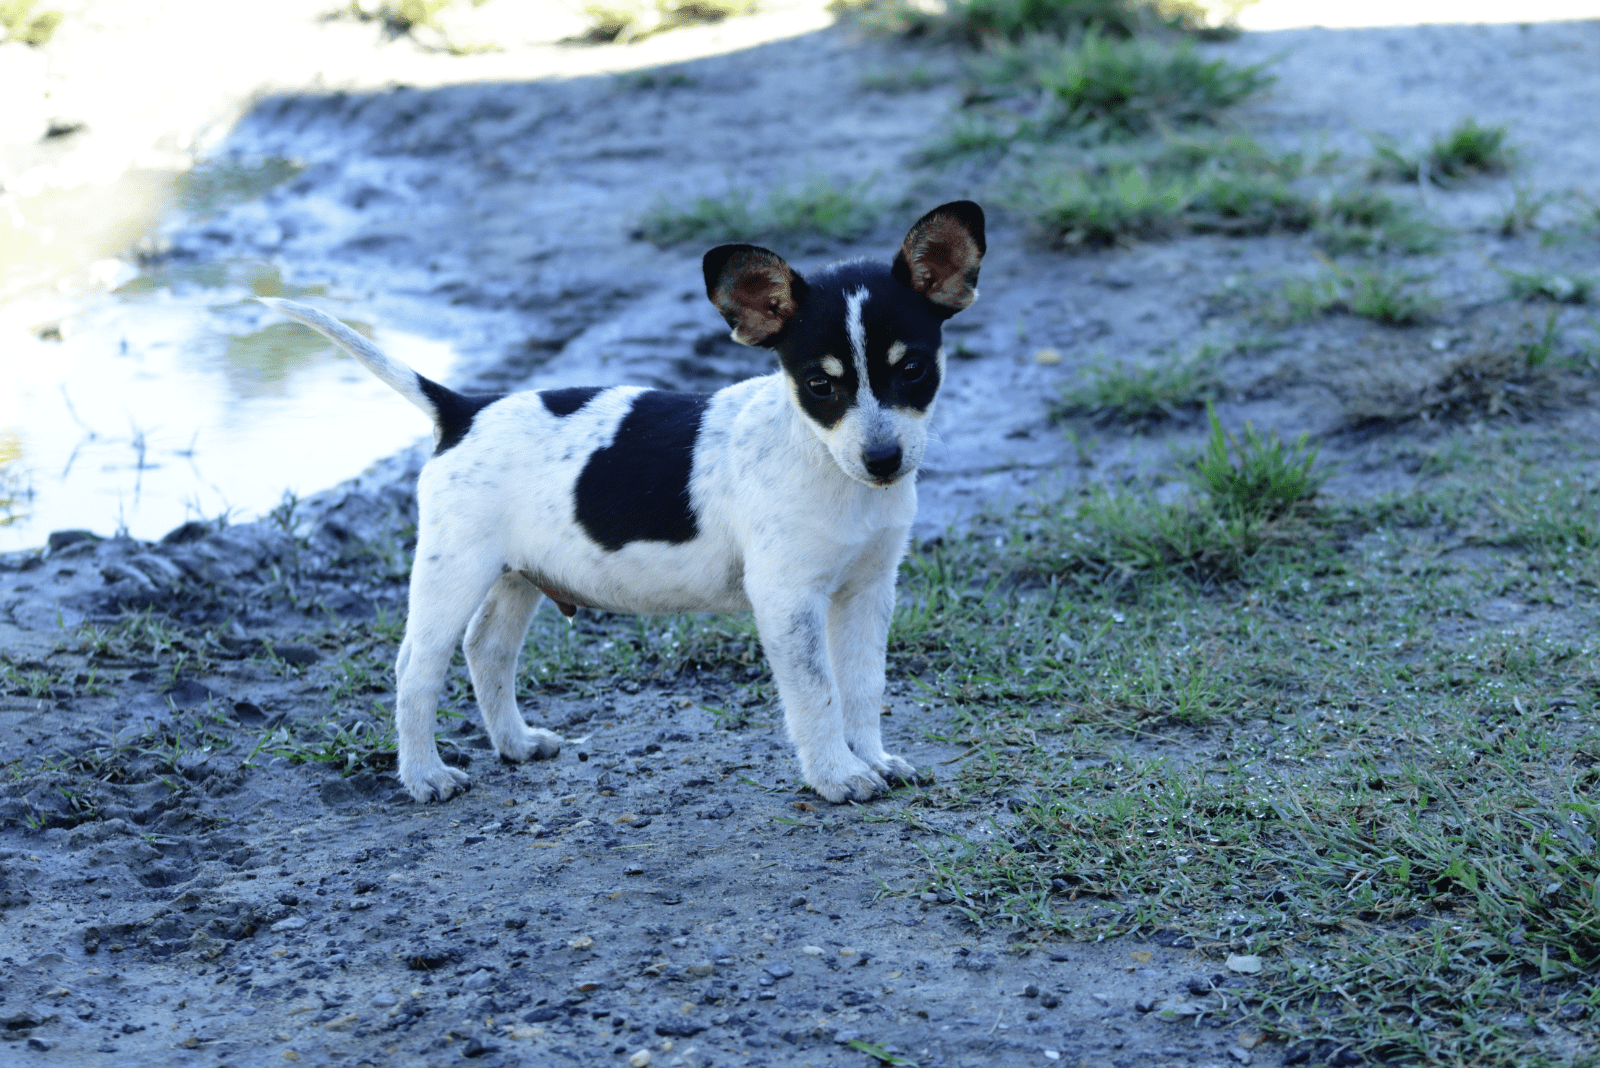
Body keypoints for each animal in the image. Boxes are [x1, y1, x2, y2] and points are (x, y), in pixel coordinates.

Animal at [262, 199, 979, 805]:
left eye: (913, 369)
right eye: (820, 386)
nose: (883, 461)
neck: (827, 465)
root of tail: (463, 410)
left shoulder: (867, 591)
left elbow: (861, 686)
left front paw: (873, 758)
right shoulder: (787, 598)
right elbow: (817, 694)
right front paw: (836, 774)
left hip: (514, 576)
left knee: (486, 650)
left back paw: (515, 744)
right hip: (453, 571)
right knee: (416, 669)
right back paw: (424, 775)